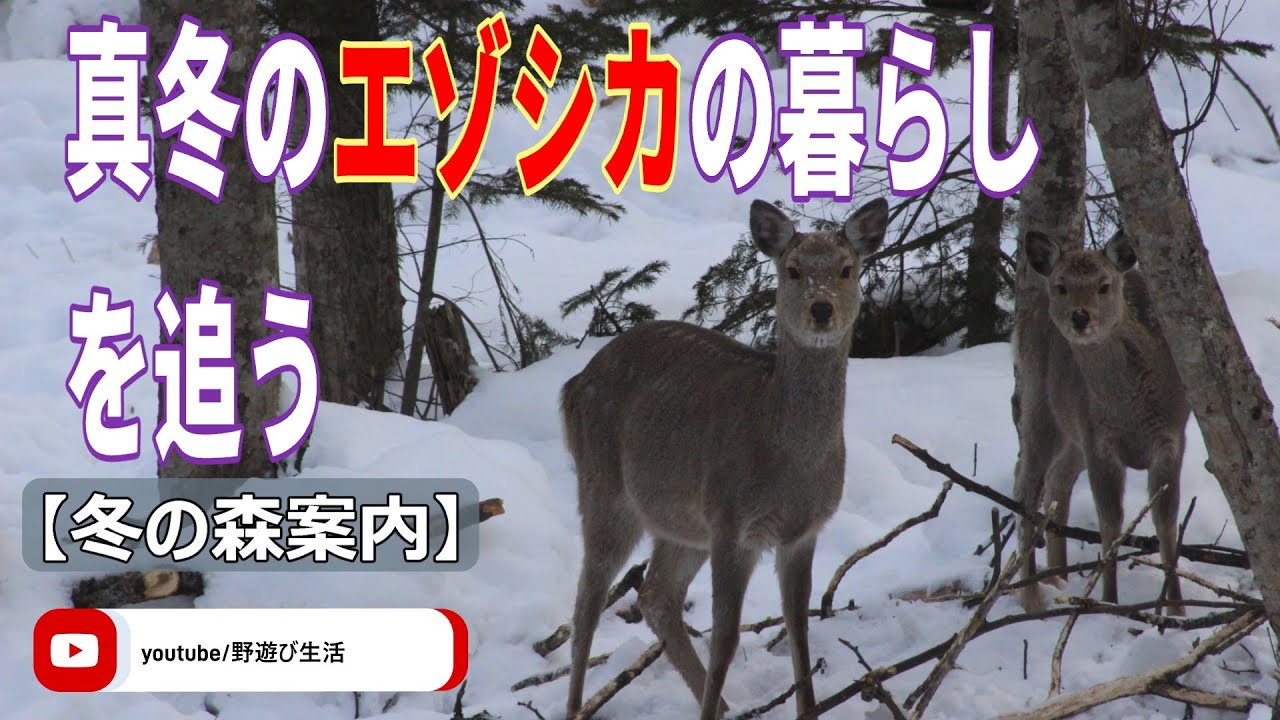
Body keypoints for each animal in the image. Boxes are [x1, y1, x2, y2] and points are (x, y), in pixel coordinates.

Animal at [559, 197, 889, 720]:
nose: (821, 308)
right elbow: (727, 638)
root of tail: (573, 385)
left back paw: (730, 706)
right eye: (792, 270)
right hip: (605, 487)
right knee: (586, 605)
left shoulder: (802, 531)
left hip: (684, 522)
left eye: (847, 269)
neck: (791, 462)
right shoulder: (734, 523)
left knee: (655, 594)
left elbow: (799, 628)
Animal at [1012, 229, 1189, 616]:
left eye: (1104, 285)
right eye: (1062, 286)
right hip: (1040, 402)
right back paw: (1031, 595)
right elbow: (1111, 522)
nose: (1080, 316)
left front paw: (1177, 610)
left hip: (1073, 434)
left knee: (1057, 480)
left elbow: (1166, 522)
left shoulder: (1173, 437)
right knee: (1026, 482)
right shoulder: (1099, 440)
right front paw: (1109, 602)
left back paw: (1058, 579)